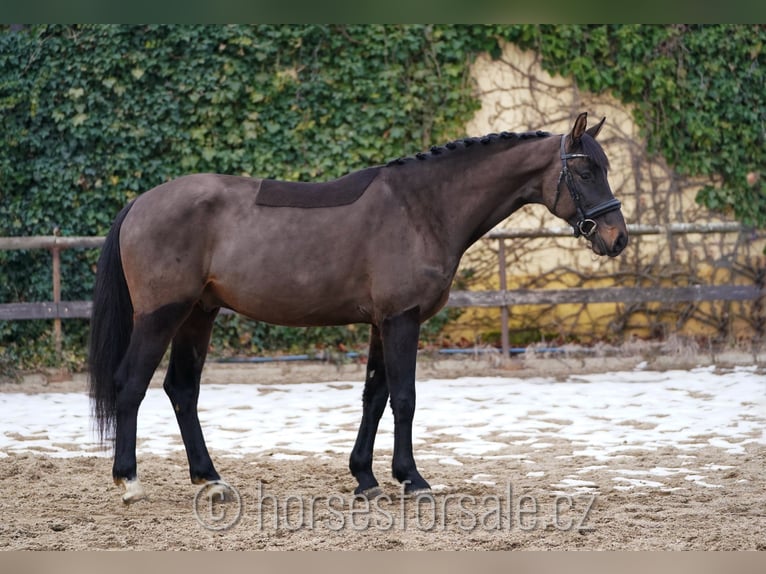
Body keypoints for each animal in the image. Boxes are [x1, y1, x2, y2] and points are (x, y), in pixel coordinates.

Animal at [90, 111, 632, 504]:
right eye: (585, 169)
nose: (617, 238)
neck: (422, 207)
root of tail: (140, 203)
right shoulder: (401, 320)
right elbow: (405, 398)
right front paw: (413, 480)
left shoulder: (381, 323)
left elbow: (374, 396)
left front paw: (366, 479)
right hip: (163, 314)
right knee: (130, 384)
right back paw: (129, 482)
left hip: (198, 314)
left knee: (182, 390)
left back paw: (211, 479)